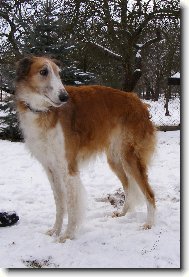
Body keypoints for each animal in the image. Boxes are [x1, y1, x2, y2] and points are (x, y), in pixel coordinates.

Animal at [15, 56, 157, 242]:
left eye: (58, 73)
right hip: (116, 160)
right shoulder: (51, 169)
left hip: (130, 157)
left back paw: (149, 224)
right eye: (43, 71)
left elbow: (71, 206)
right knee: (128, 187)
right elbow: (60, 204)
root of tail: (139, 102)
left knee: (149, 193)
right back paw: (123, 212)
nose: (64, 97)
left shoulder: (68, 169)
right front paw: (55, 230)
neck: (44, 110)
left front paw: (67, 235)